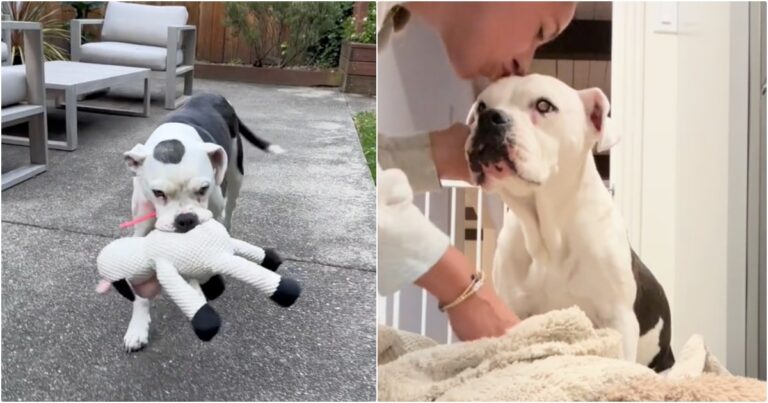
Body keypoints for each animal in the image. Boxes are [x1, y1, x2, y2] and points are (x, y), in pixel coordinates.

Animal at [117, 93, 280, 352]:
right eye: (158, 193)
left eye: (203, 188)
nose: (186, 219)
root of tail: (215, 95)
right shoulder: (141, 230)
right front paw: (138, 328)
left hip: (235, 175)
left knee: (229, 213)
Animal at [462, 75, 672, 372]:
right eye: (481, 105)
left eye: (544, 105)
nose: (490, 117)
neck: (548, 231)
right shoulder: (516, 312)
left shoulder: (618, 318)